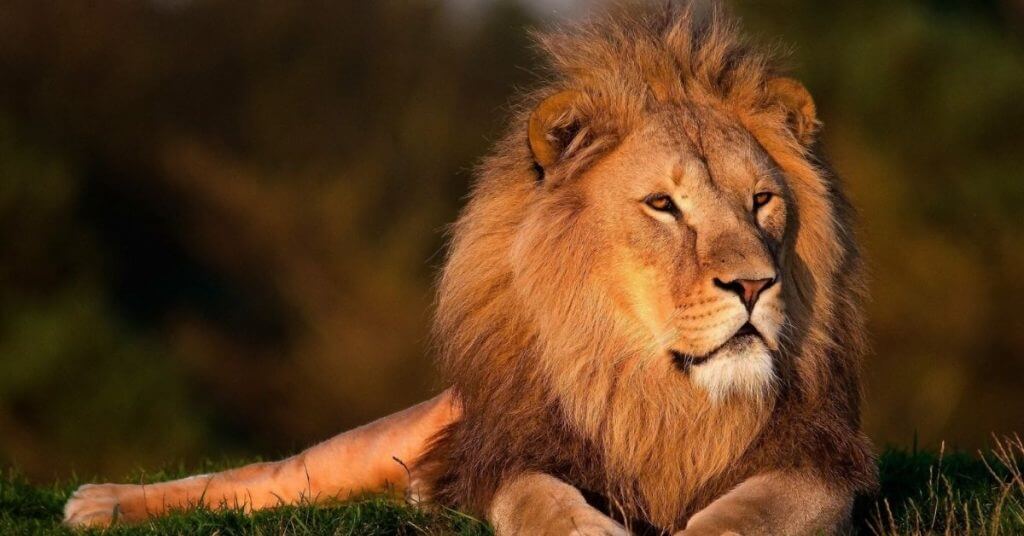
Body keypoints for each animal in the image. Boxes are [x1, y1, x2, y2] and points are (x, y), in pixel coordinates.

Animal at [63, 4, 877, 534]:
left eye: (761, 201)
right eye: (662, 205)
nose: (754, 285)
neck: (657, 392)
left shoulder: (819, 462)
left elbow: (755, 508)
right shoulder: (510, 451)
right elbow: (539, 497)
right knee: (266, 478)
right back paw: (99, 502)